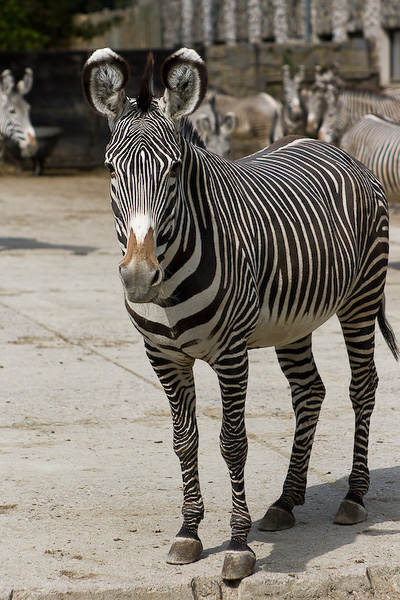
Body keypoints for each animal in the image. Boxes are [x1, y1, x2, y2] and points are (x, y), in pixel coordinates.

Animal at [81, 47, 396, 580]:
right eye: (110, 169)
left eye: (173, 170)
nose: (140, 276)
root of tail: (327, 143)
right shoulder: (162, 357)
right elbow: (184, 441)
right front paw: (189, 532)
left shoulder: (231, 353)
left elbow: (233, 442)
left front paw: (237, 545)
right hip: (294, 322)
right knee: (310, 392)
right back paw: (286, 502)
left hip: (362, 295)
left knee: (362, 386)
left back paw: (354, 497)